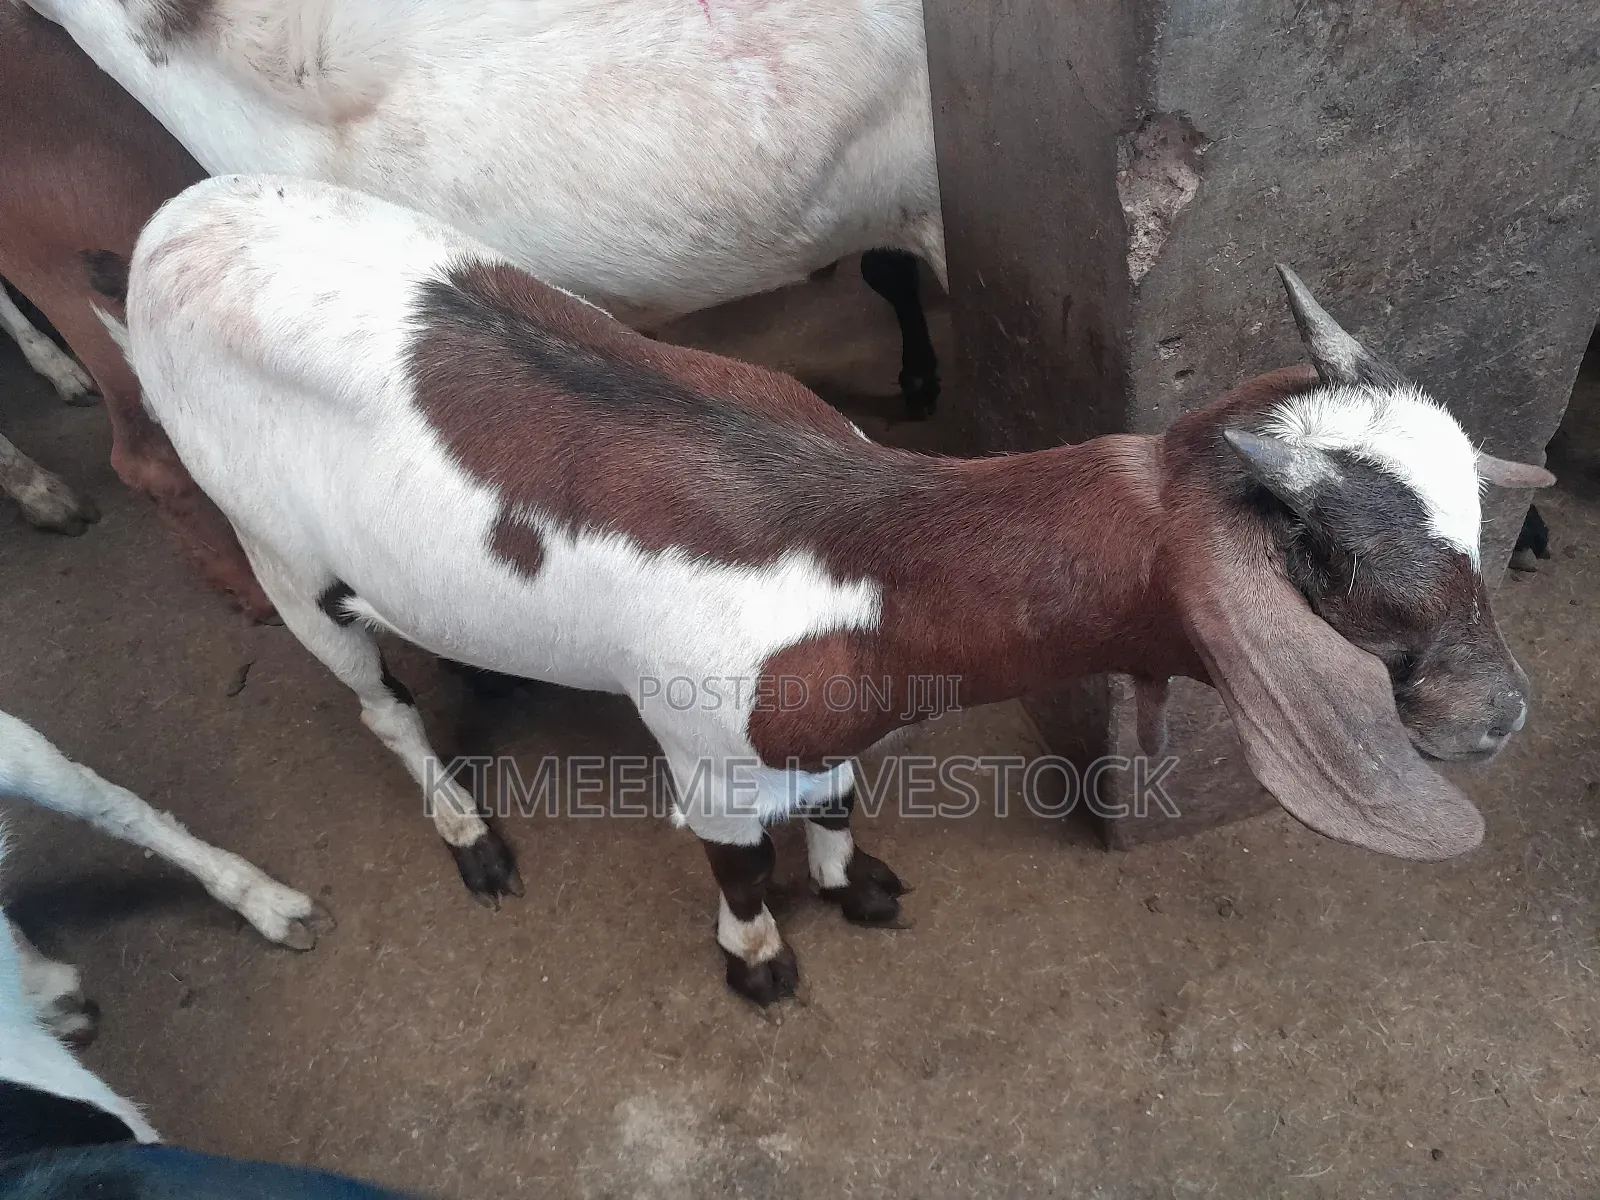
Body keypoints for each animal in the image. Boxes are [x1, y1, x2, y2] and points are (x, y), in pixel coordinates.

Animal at [104, 174, 1552, 1004]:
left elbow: (842, 800)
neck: (870, 558)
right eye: (1345, 576)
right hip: (278, 555)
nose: (1501, 718)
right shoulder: (703, 747)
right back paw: (465, 829)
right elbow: (736, 864)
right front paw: (759, 963)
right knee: (377, 706)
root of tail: (172, 224)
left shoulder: (820, 729)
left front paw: (856, 887)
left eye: (1477, 530)